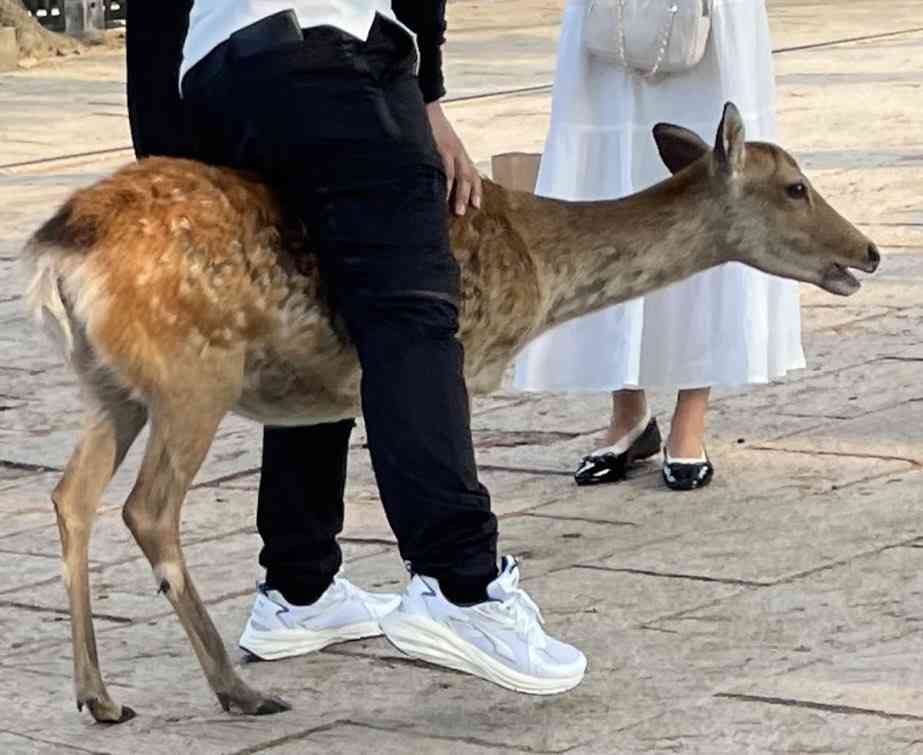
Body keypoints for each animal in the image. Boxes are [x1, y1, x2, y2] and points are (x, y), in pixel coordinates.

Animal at [21, 103, 879, 723]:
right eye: (794, 185)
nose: (868, 251)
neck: (539, 271)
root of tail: (58, 250)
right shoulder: (457, 356)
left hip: (112, 383)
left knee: (70, 494)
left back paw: (98, 696)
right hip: (193, 371)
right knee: (147, 507)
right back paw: (238, 690)